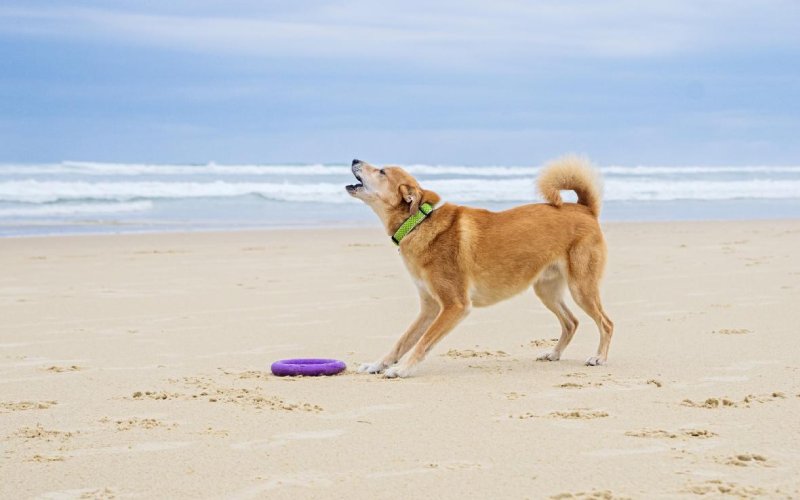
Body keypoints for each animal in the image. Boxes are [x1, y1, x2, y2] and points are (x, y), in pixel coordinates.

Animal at [344, 156, 612, 378]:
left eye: (381, 171)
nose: (355, 159)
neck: (417, 222)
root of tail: (585, 208)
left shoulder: (455, 305)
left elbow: (423, 343)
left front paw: (402, 369)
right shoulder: (430, 308)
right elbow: (403, 341)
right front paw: (378, 365)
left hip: (581, 288)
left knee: (606, 323)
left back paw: (599, 357)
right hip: (546, 291)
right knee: (571, 322)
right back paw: (554, 354)